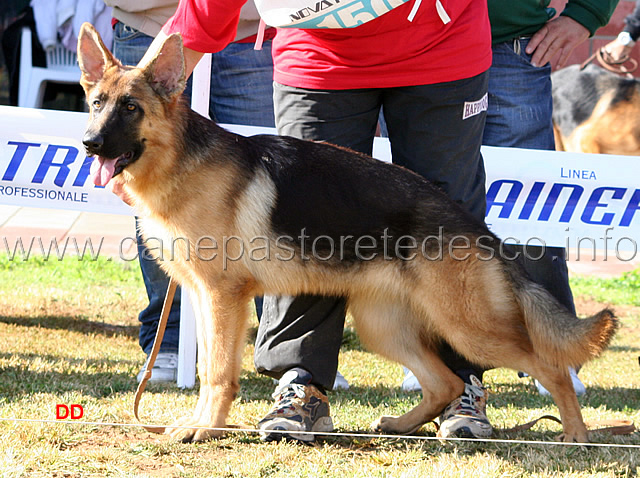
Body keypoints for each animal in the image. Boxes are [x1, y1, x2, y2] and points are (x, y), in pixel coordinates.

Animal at [77, 24, 616, 444]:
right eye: (97, 103)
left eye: (131, 108)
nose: (89, 143)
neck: (180, 161)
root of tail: (475, 226)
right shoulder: (203, 298)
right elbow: (212, 365)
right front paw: (200, 423)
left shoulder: (222, 298)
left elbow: (217, 373)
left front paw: (204, 428)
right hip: (384, 327)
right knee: (442, 382)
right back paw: (401, 426)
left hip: (470, 329)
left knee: (547, 366)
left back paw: (577, 435)